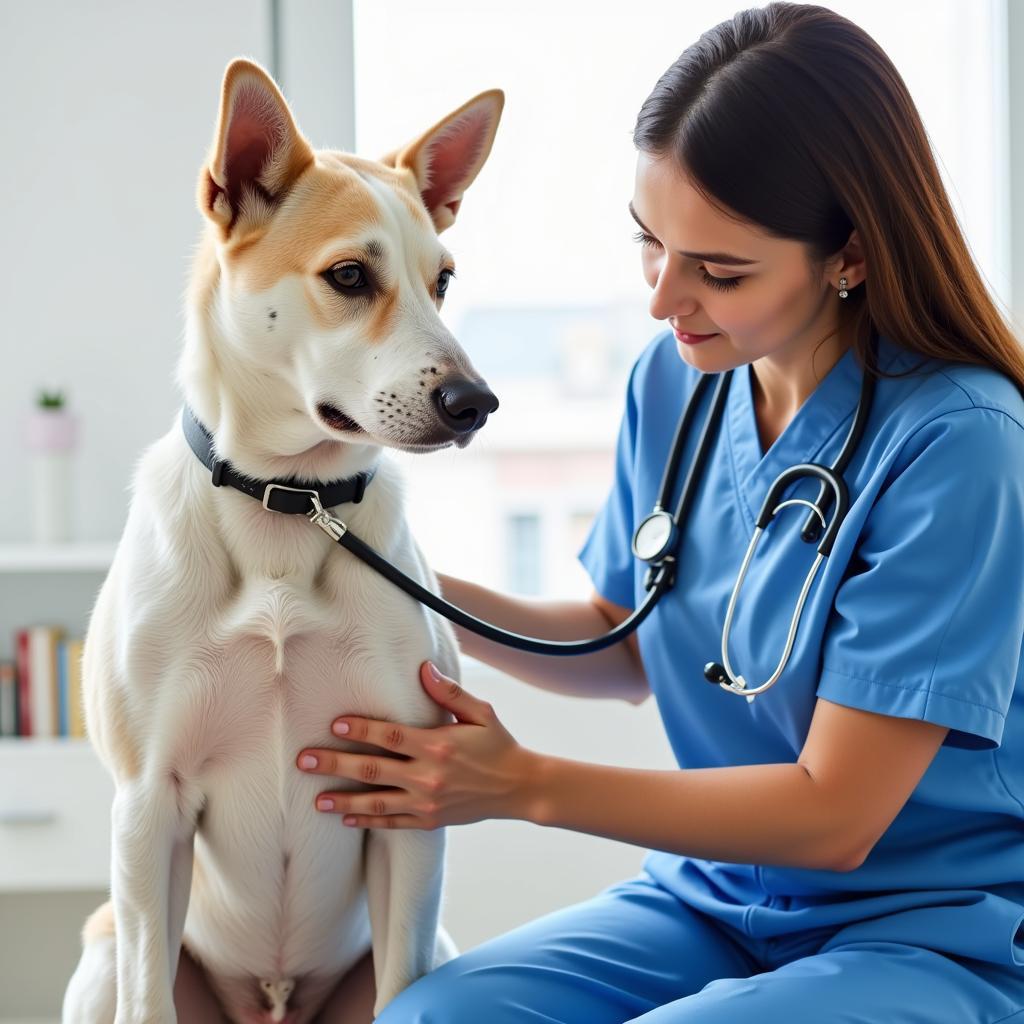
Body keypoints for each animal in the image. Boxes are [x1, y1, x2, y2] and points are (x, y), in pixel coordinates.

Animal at [61, 58, 501, 1024]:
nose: (476, 404)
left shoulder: (408, 803)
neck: (289, 507)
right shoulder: (147, 809)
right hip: (104, 948)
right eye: (349, 275)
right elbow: (148, 997)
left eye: (443, 281)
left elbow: (403, 981)